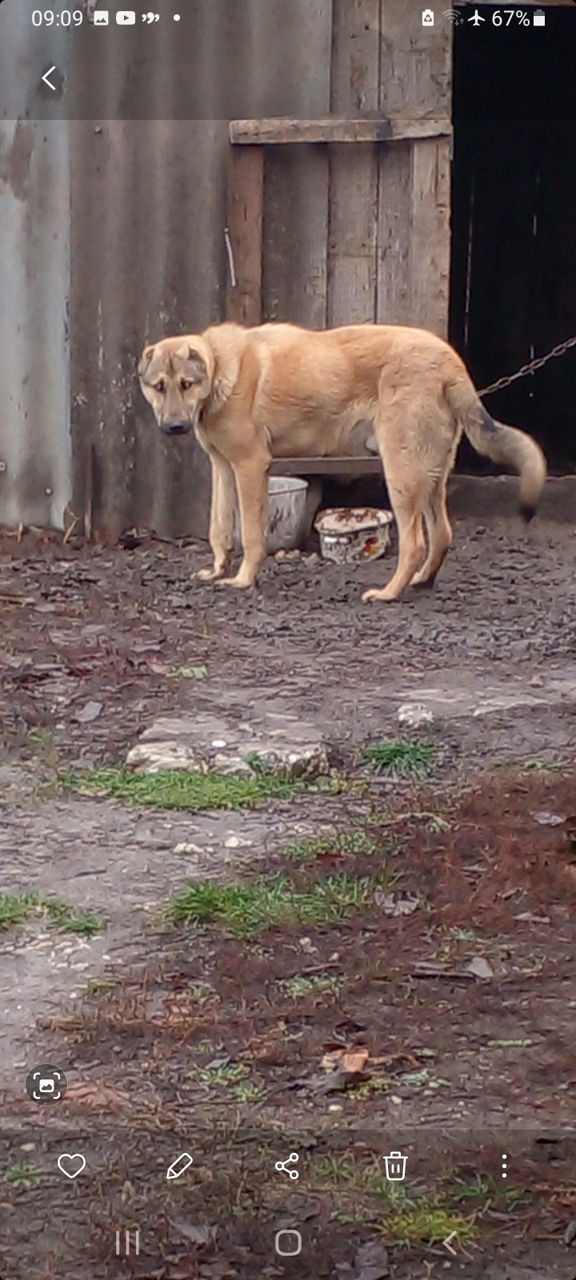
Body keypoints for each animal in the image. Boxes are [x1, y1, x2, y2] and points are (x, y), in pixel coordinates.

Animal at [136, 320, 547, 599]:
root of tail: (450, 361)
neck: (222, 368)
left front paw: (243, 579)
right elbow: (218, 529)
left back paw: (389, 593)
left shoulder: (251, 467)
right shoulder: (223, 468)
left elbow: (251, 536)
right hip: (428, 475)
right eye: (159, 387)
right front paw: (217, 571)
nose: (174, 427)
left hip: (400, 473)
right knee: (441, 534)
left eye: (186, 385)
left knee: (414, 543)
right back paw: (421, 582)